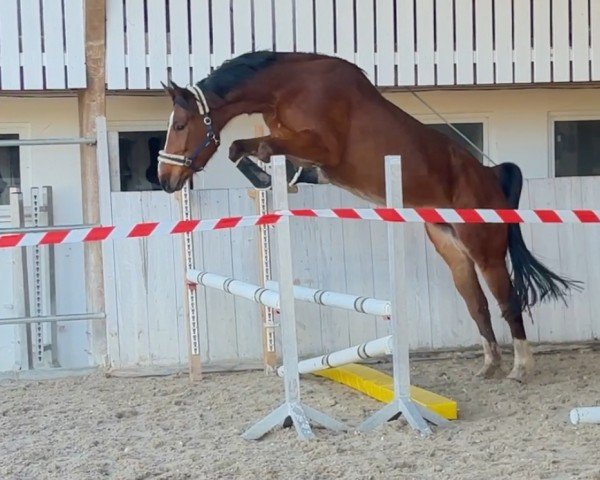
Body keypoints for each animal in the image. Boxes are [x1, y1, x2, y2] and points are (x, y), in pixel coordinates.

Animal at [158, 50, 580, 382]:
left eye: (179, 125)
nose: (165, 179)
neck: (288, 88)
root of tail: (490, 176)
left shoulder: (321, 146)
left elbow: (256, 147)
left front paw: (273, 176)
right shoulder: (299, 147)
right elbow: (244, 148)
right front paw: (273, 179)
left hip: (485, 250)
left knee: (508, 300)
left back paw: (520, 368)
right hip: (453, 251)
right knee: (476, 304)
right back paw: (489, 365)